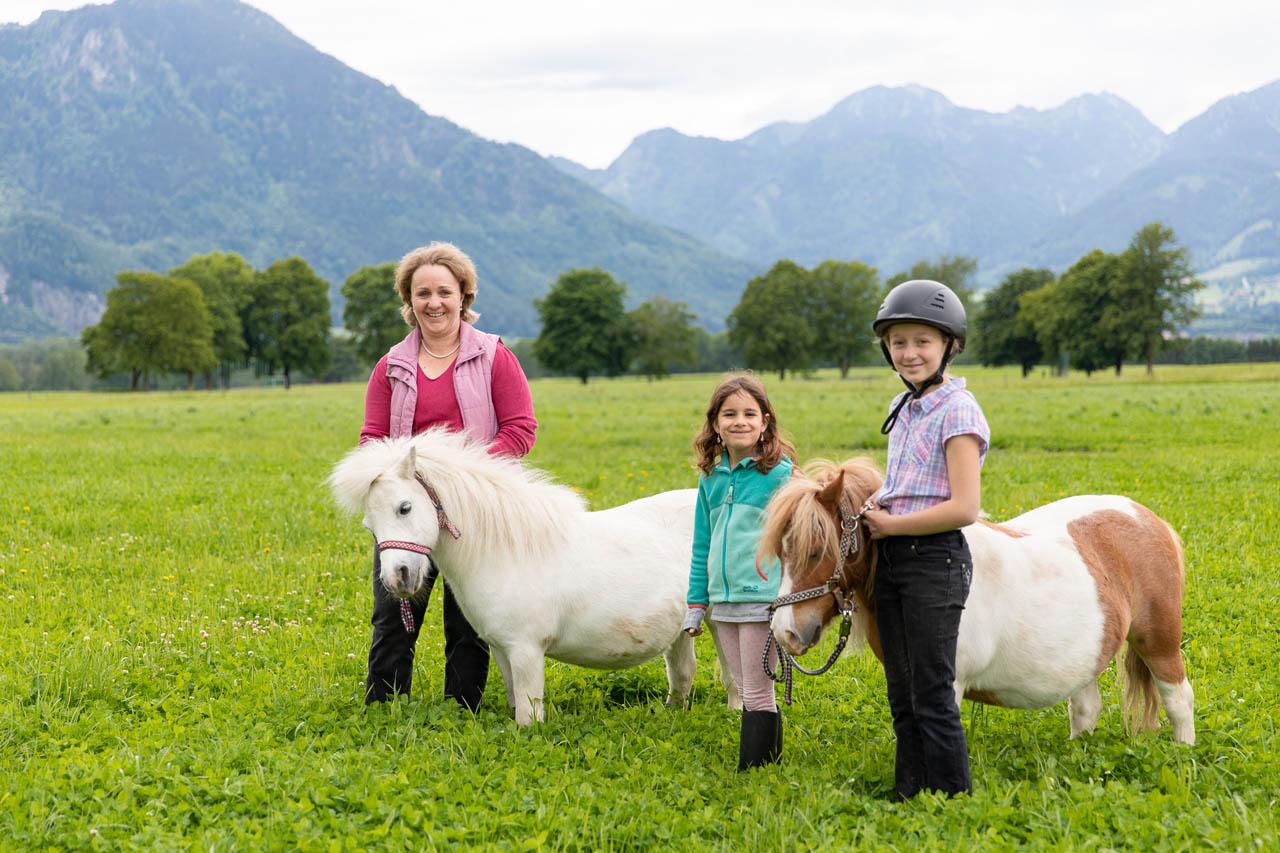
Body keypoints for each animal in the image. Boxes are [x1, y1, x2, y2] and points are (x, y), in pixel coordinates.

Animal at [330, 427, 737, 722]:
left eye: (405, 507)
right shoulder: (502, 649)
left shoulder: (526, 650)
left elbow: (529, 715)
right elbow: (516, 701)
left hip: (719, 621)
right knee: (683, 674)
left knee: (733, 675)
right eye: (369, 525)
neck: (507, 552)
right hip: (681, 630)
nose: (397, 578)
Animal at [757, 455, 1187, 742]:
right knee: (1085, 709)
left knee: (1179, 699)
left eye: (816, 551)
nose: (784, 632)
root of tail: (1149, 518)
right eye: (781, 549)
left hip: (1160, 643)